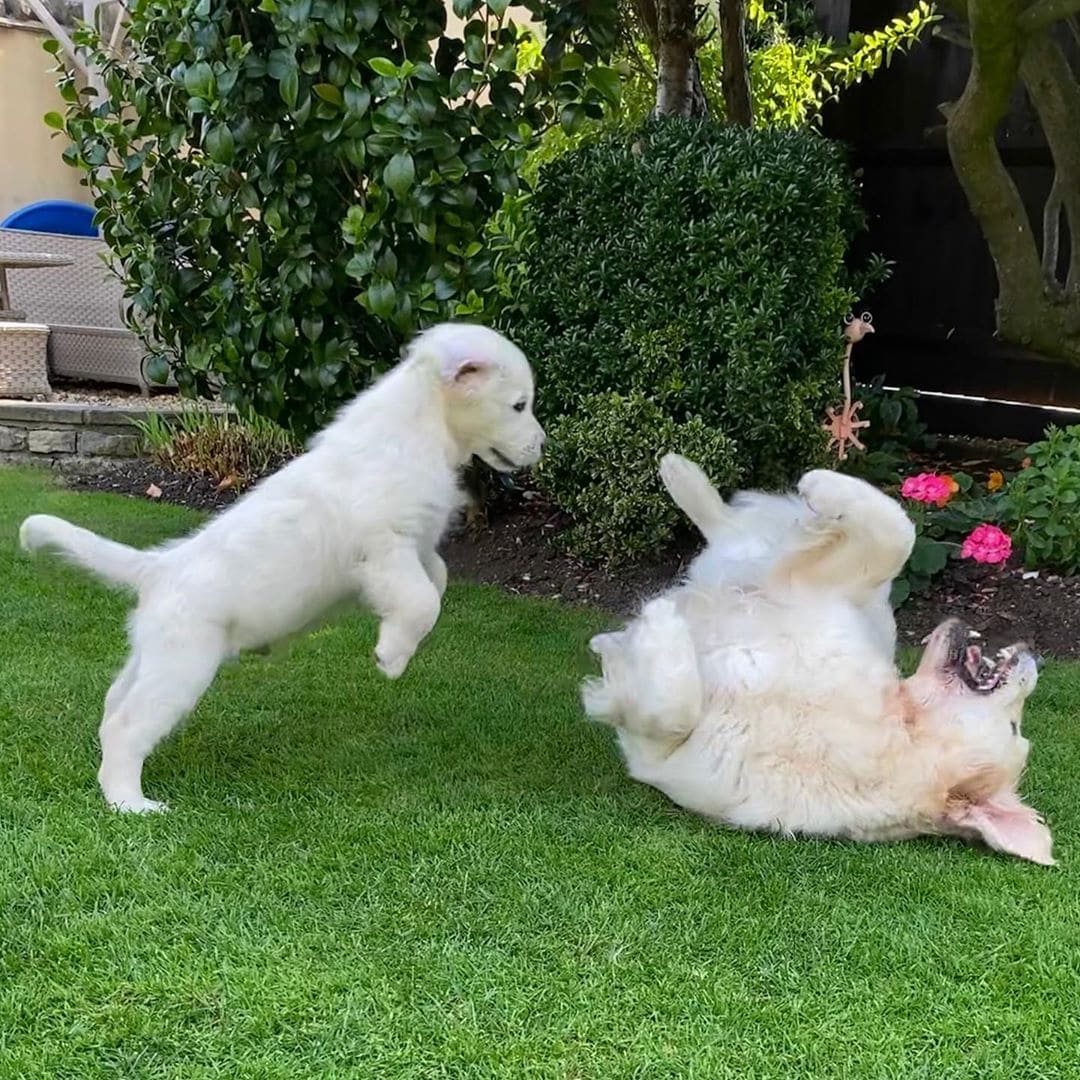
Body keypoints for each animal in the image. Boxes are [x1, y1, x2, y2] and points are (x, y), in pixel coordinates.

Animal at [23, 319, 548, 812]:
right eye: (519, 405)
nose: (542, 446)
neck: (417, 428)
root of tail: (158, 567)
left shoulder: (414, 544)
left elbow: (434, 580)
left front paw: (399, 633)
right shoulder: (384, 545)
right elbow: (421, 602)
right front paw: (392, 656)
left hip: (151, 657)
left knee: (114, 707)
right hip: (182, 665)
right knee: (128, 726)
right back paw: (130, 803)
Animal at [583, 460, 1054, 864]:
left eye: (1014, 727)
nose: (1031, 660)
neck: (896, 732)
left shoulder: (660, 757)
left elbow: (672, 710)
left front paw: (656, 625)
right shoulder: (814, 592)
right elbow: (898, 532)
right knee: (732, 531)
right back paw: (683, 473)